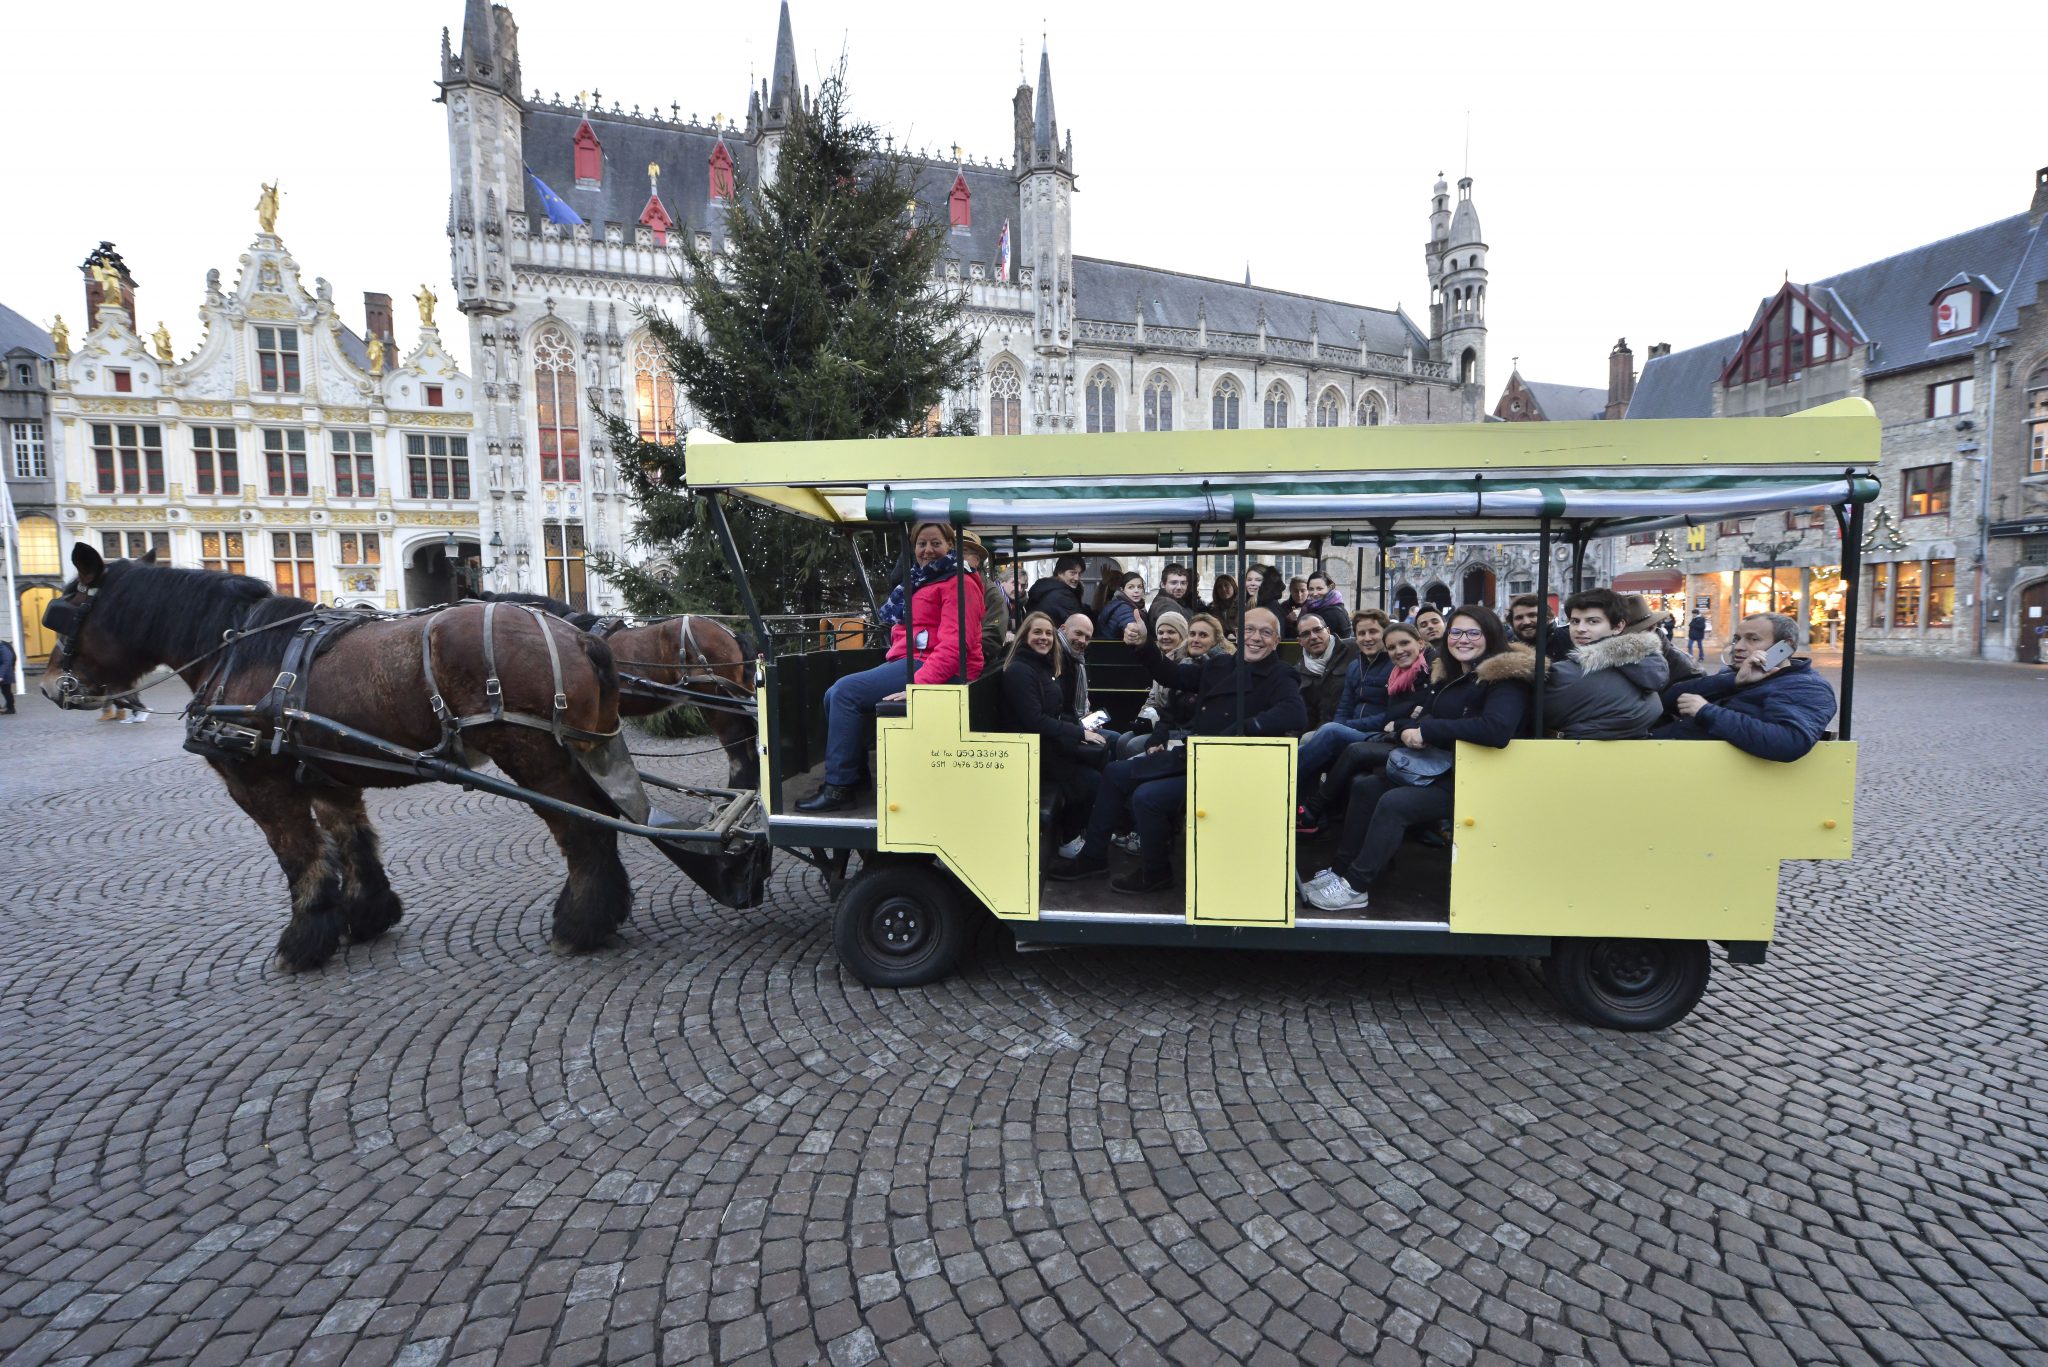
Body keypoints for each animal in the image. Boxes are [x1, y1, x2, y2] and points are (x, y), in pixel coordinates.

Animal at [44, 545, 634, 971]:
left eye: (64, 615)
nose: (50, 685)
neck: (235, 650)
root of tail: (579, 638)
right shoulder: (326, 775)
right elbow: (352, 844)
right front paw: (368, 916)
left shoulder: (257, 783)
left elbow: (299, 858)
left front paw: (302, 942)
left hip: (535, 757)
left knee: (586, 828)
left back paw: (579, 925)